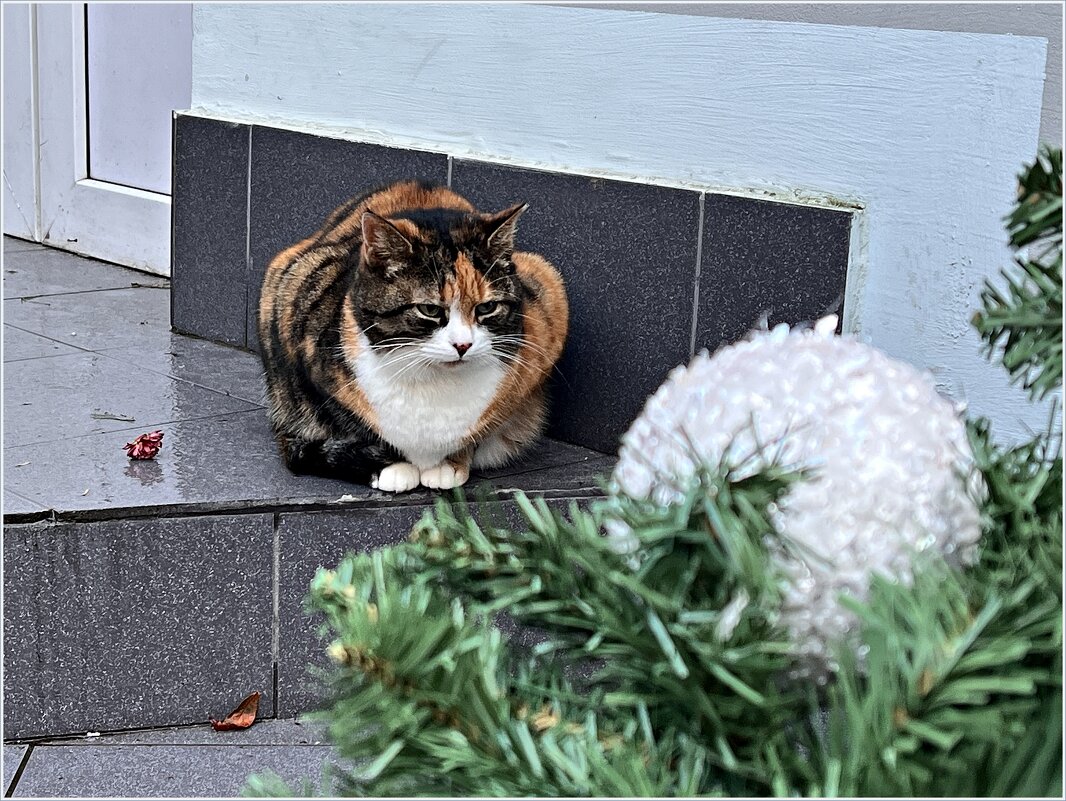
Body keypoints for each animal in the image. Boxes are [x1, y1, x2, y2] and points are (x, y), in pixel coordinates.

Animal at [256, 180, 571, 494]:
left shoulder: (547, 297)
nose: (463, 345)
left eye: (487, 307)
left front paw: (451, 463)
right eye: (429, 309)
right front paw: (388, 465)